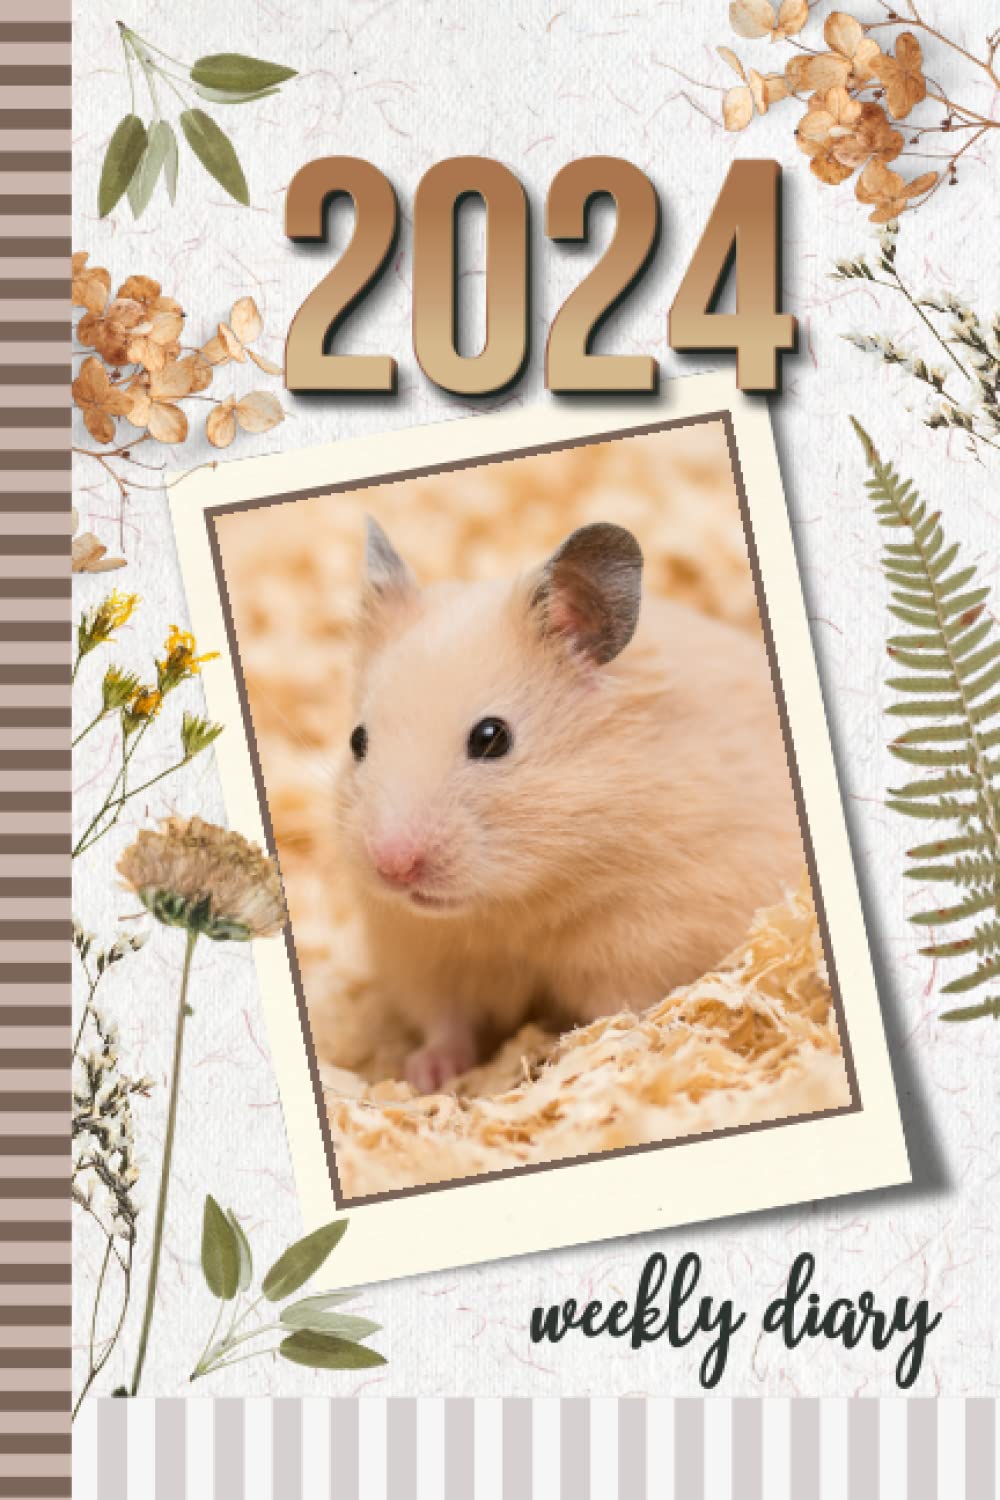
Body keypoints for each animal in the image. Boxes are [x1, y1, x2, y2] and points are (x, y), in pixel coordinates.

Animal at [335, 516, 803, 1095]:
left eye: (492, 737)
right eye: (357, 740)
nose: (392, 867)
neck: (513, 906)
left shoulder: (649, 938)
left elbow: (613, 1014)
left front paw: (567, 1057)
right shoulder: (423, 951)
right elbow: (447, 1022)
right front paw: (425, 1077)